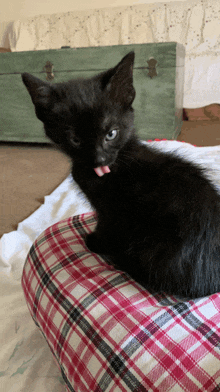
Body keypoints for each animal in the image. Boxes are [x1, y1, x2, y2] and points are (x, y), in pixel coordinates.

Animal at [21, 52, 220, 298]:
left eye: (111, 134)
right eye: (75, 139)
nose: (99, 159)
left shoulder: (114, 210)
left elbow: (107, 225)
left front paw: (95, 241)